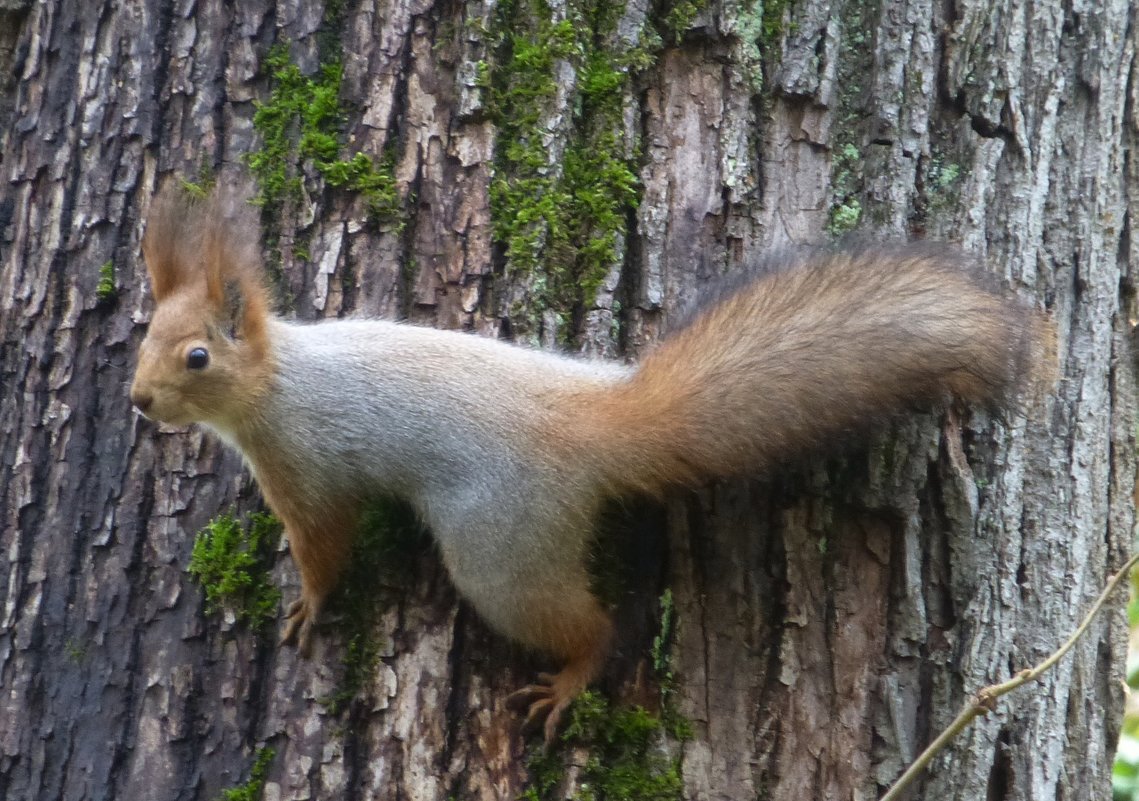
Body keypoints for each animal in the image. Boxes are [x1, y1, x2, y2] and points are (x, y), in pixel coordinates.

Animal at [129, 183, 1043, 747]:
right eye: (143, 336)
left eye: (198, 356)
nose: (138, 401)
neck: (279, 379)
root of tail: (590, 422)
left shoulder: (304, 467)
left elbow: (324, 546)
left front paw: (308, 606)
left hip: (500, 552)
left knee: (591, 625)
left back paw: (569, 680)